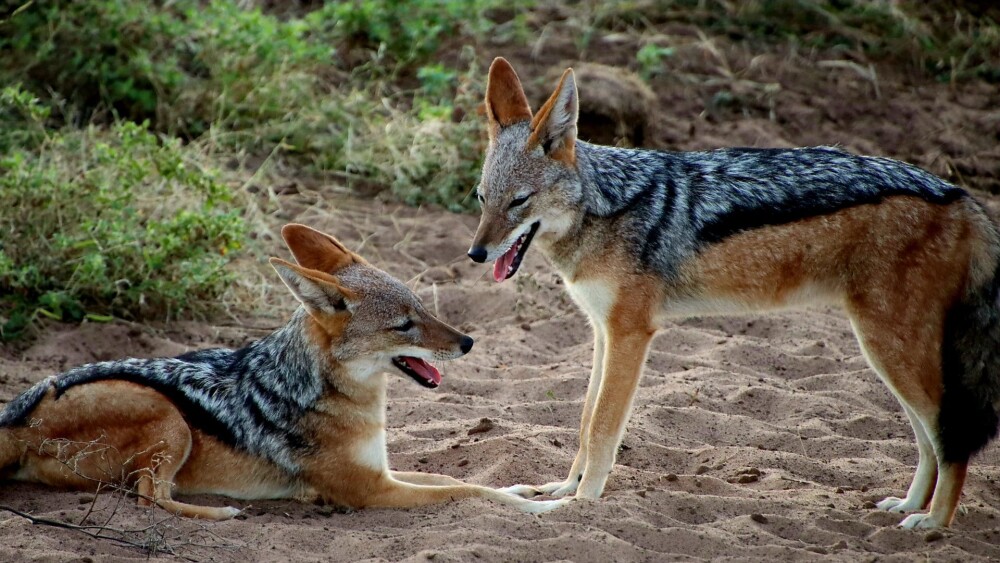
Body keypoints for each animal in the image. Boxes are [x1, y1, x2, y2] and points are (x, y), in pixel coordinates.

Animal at [0, 223, 565, 519]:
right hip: (167, 415)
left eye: (424, 309)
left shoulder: (381, 471)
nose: (468, 343)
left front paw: (530, 490)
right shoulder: (371, 491)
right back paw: (222, 513)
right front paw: (540, 509)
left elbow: (450, 476)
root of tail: (16, 418)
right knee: (150, 497)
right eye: (404, 325)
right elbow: (468, 491)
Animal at [466, 57, 1000, 529]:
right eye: (482, 198)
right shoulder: (603, 332)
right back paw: (908, 506)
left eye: (519, 202)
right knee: (930, 440)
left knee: (951, 436)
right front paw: (563, 488)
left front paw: (576, 504)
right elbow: (583, 423)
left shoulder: (630, 335)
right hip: (885, 355)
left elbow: (601, 431)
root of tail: (961, 196)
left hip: (889, 349)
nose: (475, 253)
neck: (607, 207)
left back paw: (933, 523)